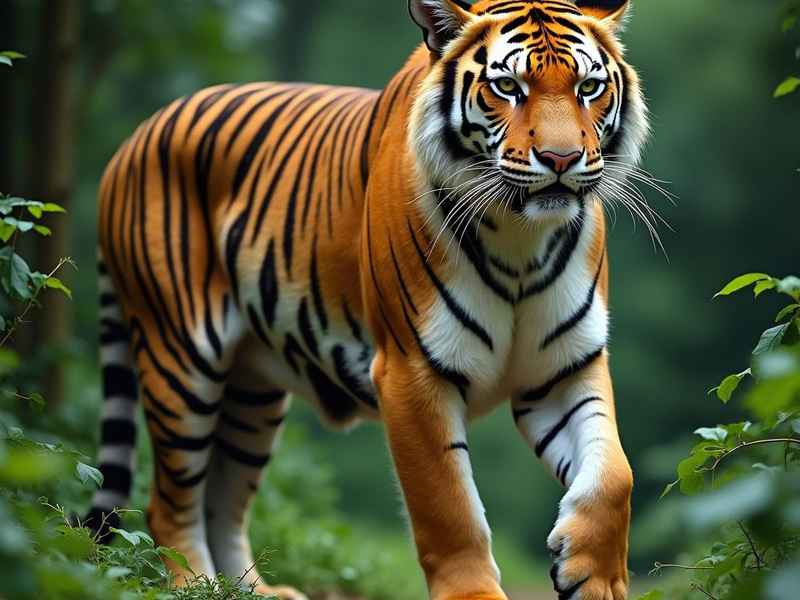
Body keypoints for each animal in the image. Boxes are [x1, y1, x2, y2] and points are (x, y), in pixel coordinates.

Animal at [86, 1, 649, 598]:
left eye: (589, 87)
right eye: (507, 86)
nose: (561, 159)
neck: (520, 238)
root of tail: (131, 141)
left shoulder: (565, 368)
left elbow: (615, 471)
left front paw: (593, 575)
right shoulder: (411, 372)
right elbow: (449, 506)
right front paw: (474, 590)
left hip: (251, 394)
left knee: (224, 497)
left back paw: (252, 592)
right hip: (181, 360)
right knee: (168, 503)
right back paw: (192, 584)